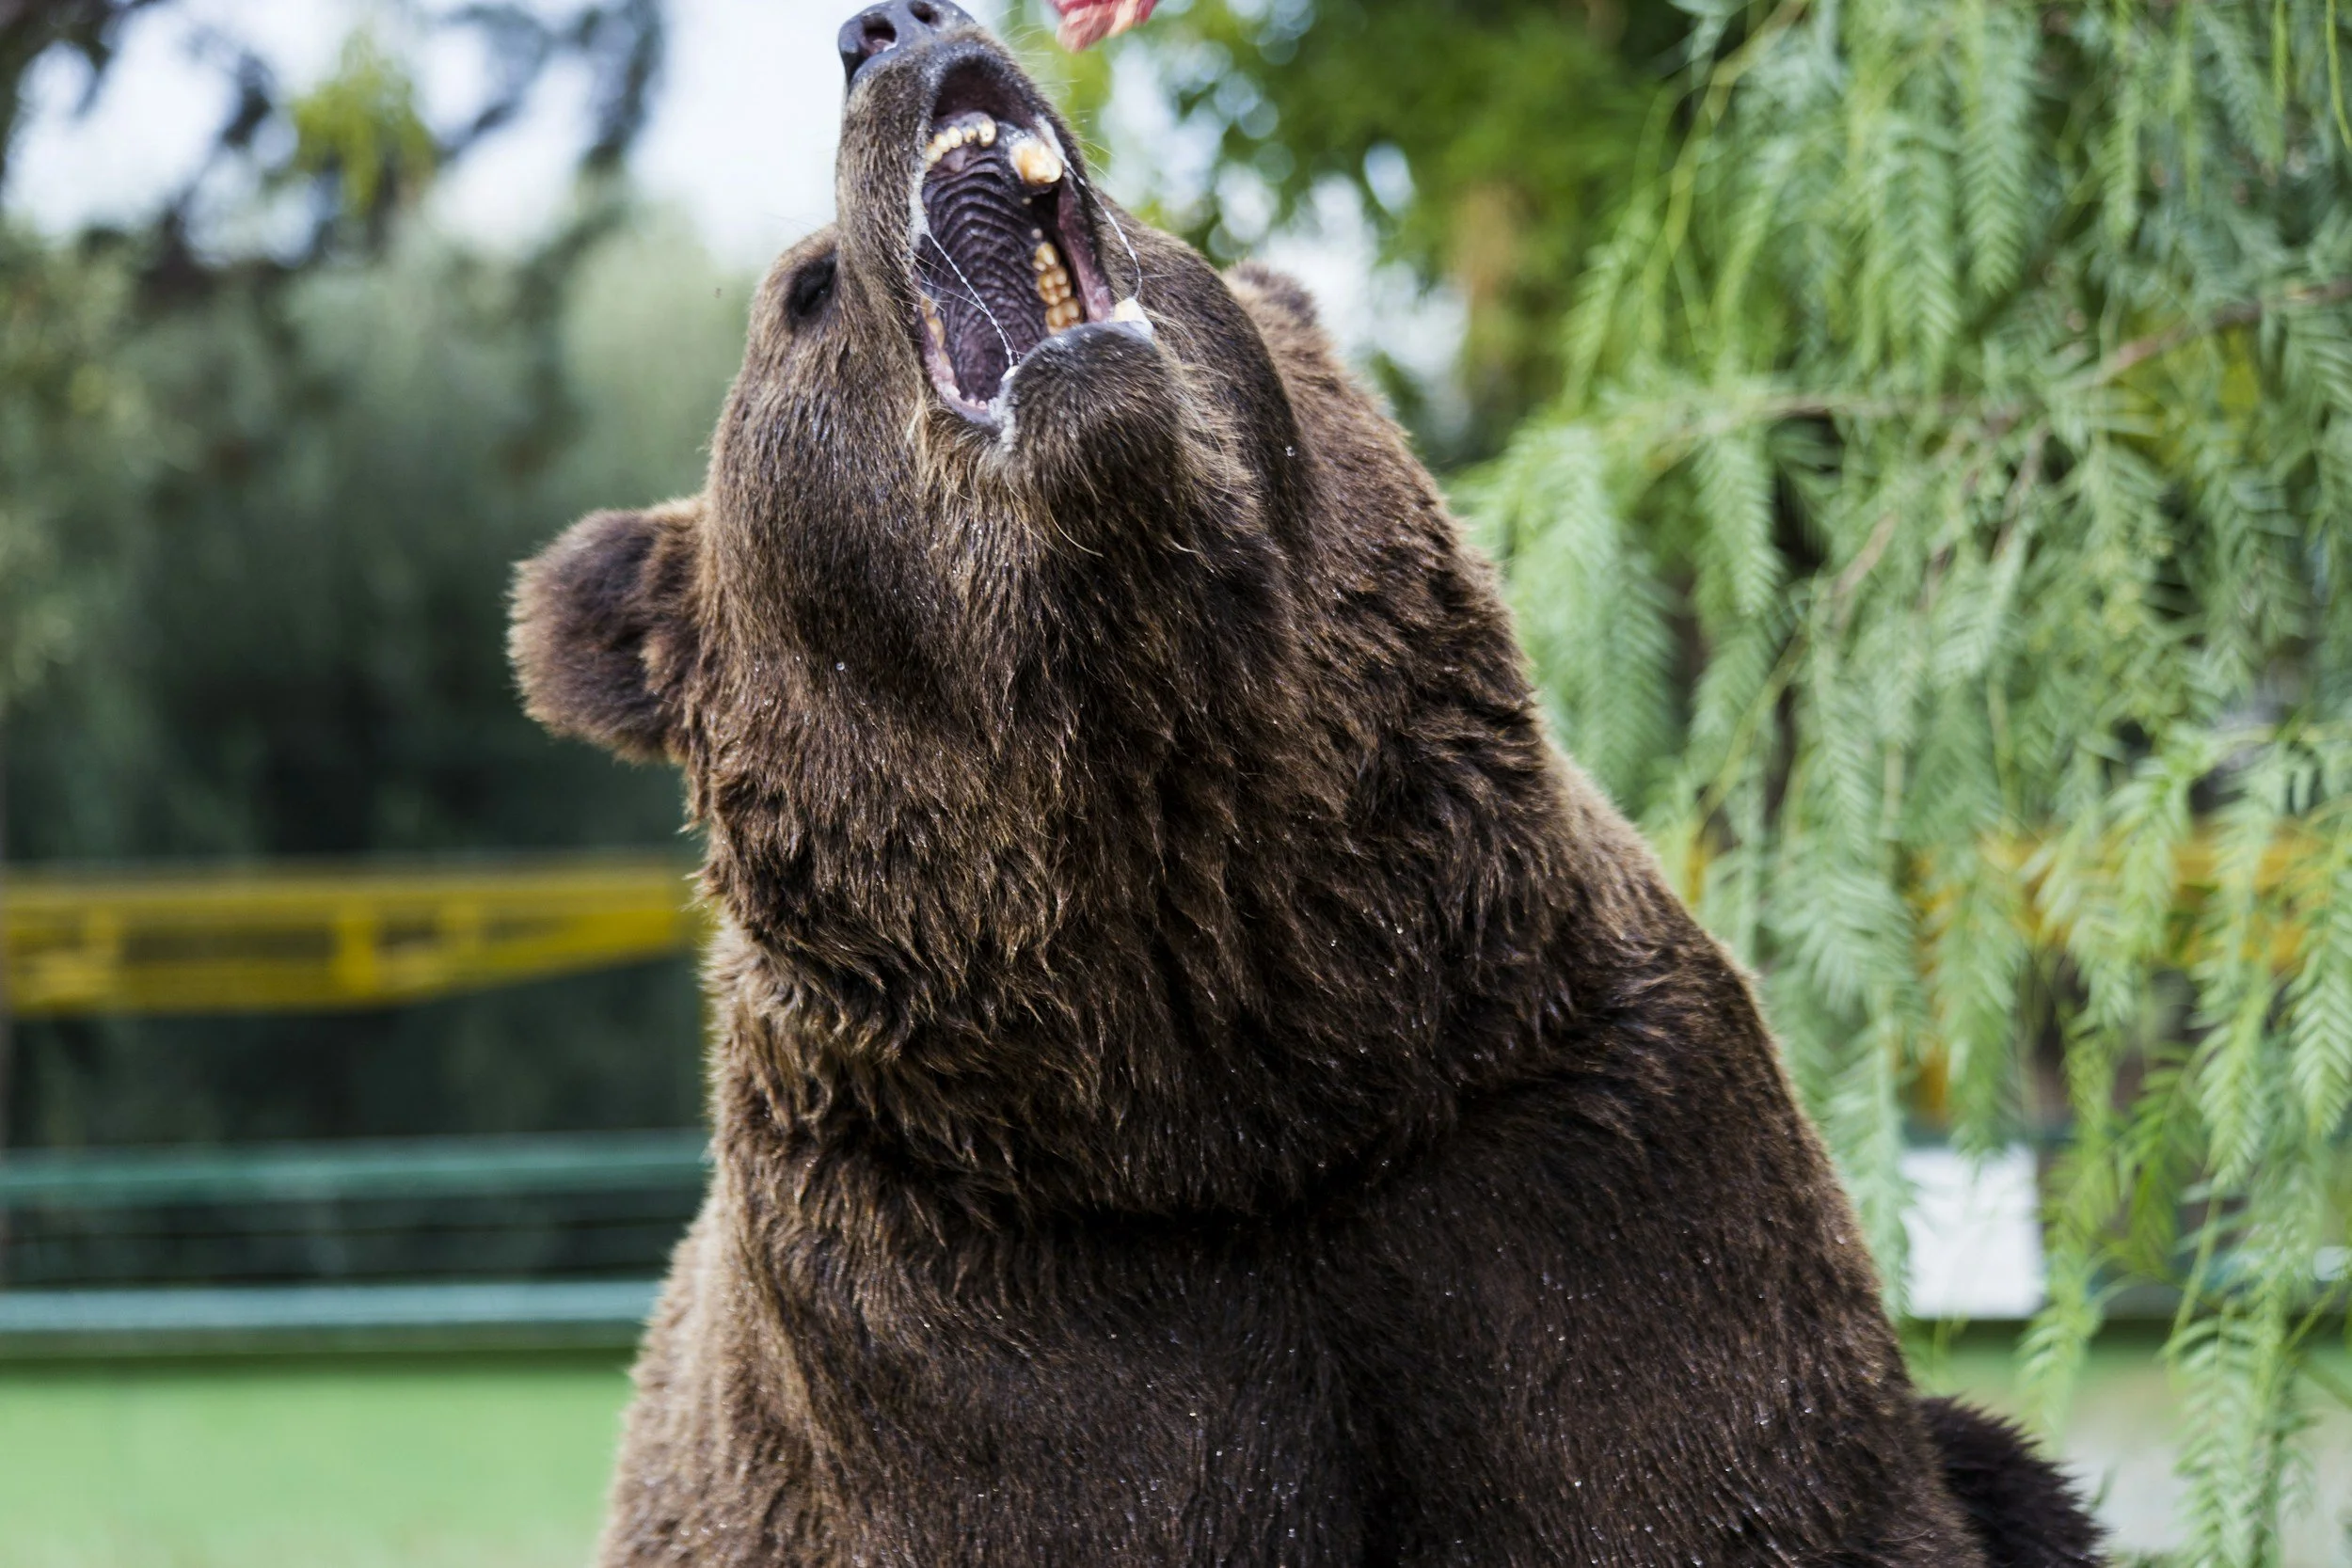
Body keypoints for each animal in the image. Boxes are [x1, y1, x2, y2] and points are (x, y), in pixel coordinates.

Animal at [509, 4, 2105, 1564]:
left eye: (1157, 225)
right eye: (806, 292)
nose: (893, 28)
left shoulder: (1581, 1164)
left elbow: (1716, 1474)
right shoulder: (981, 1302)